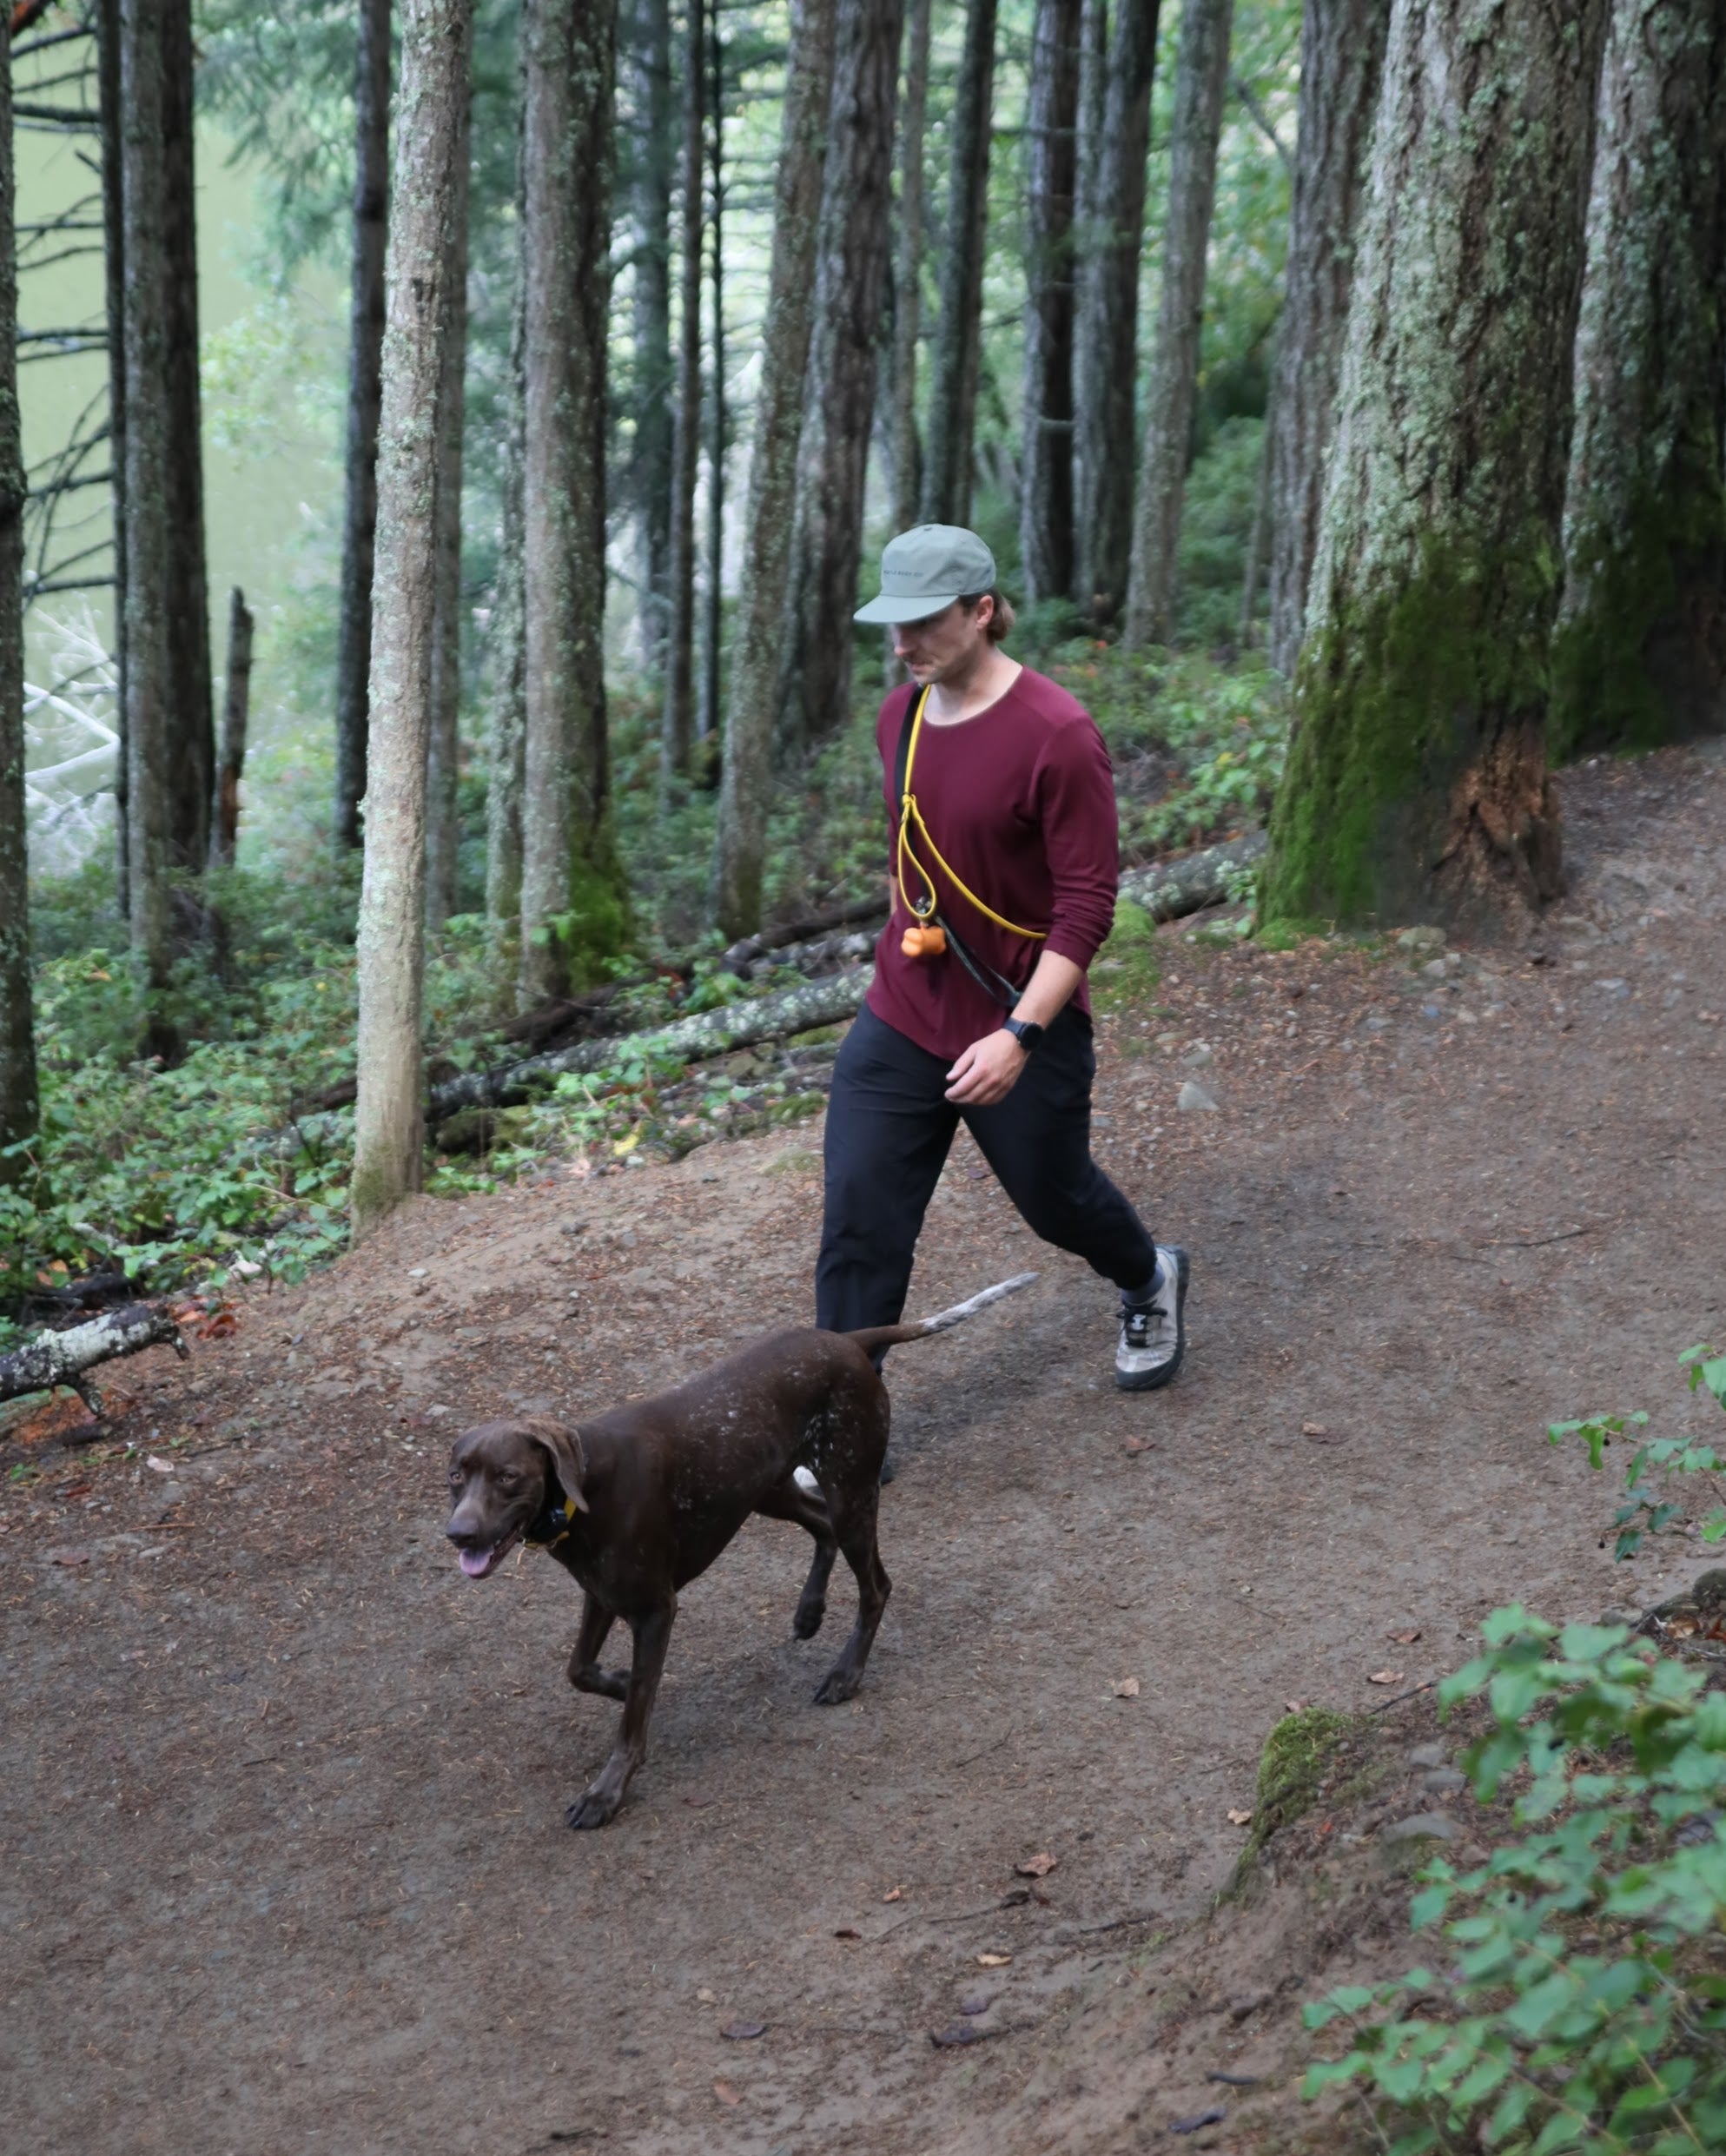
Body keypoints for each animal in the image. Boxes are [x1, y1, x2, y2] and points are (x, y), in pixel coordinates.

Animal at [447, 1267, 1038, 1828]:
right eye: (456, 1476)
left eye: (507, 1477)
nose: (458, 1534)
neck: (586, 1485)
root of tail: (847, 1341)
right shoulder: (602, 1596)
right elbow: (581, 1671)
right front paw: (620, 1680)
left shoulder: (654, 1610)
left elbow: (632, 1721)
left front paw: (606, 1792)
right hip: (771, 1493)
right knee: (821, 1528)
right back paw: (809, 1611)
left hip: (850, 1494)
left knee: (876, 1586)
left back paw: (845, 1674)